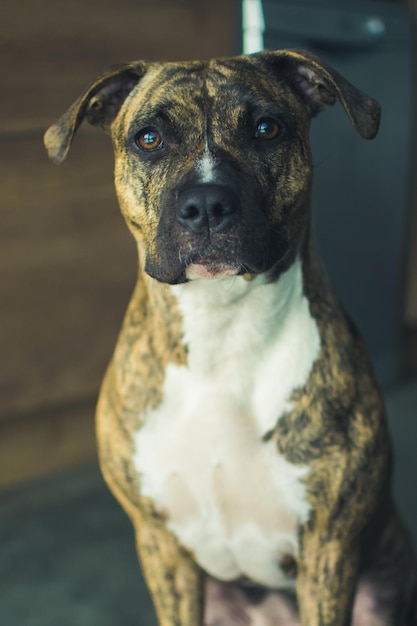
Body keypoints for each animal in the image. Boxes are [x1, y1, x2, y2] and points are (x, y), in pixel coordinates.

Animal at [44, 50, 414, 624]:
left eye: (266, 129)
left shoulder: (329, 550)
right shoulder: (161, 547)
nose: (206, 205)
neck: (221, 328)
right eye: (149, 138)